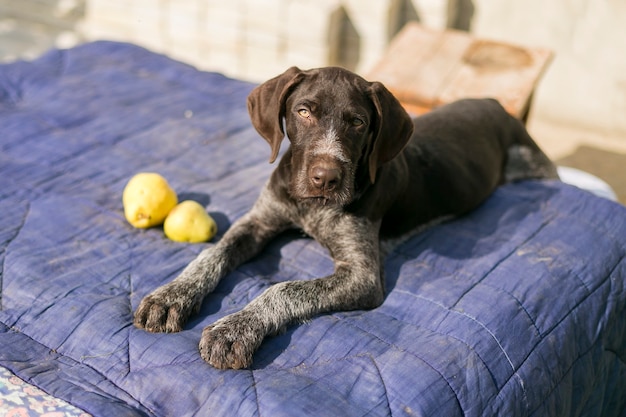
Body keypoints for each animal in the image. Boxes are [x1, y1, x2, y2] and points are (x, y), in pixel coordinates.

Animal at [133, 65, 556, 368]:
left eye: (358, 122)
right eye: (303, 112)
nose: (326, 177)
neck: (312, 207)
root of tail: (494, 102)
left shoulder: (362, 276)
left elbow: (283, 288)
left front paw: (236, 329)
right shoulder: (260, 221)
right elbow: (213, 253)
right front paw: (172, 295)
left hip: (537, 163)